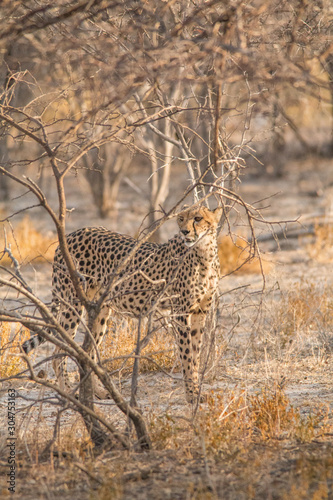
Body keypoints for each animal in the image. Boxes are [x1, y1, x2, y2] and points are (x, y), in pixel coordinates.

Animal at [22, 205, 222, 404]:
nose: (184, 231)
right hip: (73, 304)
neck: (204, 254)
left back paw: (100, 391)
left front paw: (196, 391)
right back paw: (69, 395)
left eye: (197, 218)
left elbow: (195, 355)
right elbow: (187, 356)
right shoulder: (180, 313)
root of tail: (71, 235)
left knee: (89, 351)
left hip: (100, 309)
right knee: (60, 352)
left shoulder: (199, 312)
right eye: (181, 218)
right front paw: (192, 395)